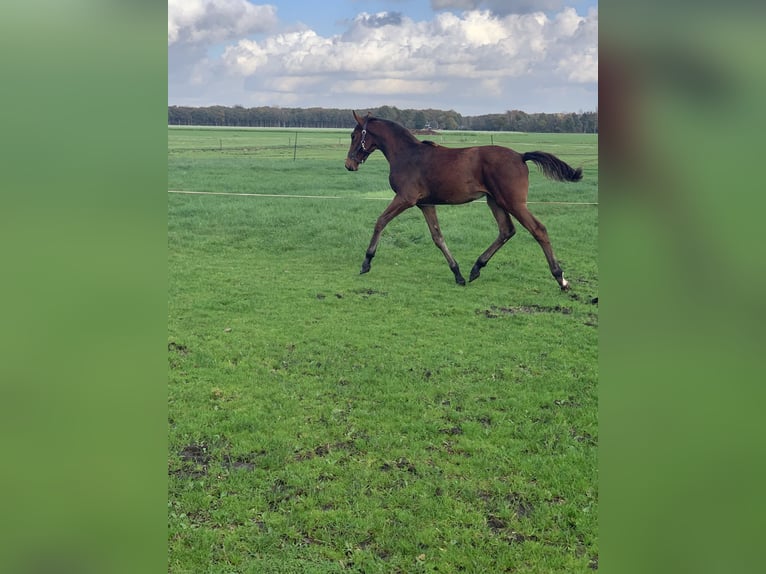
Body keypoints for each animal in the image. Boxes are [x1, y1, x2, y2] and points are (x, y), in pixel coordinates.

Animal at [344, 111, 584, 292]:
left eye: (354, 135)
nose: (349, 164)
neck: (407, 155)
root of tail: (520, 156)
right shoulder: (426, 204)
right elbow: (437, 237)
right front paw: (457, 273)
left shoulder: (406, 198)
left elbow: (380, 221)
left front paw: (366, 262)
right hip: (494, 201)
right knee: (506, 230)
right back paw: (476, 268)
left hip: (513, 203)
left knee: (538, 229)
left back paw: (561, 279)